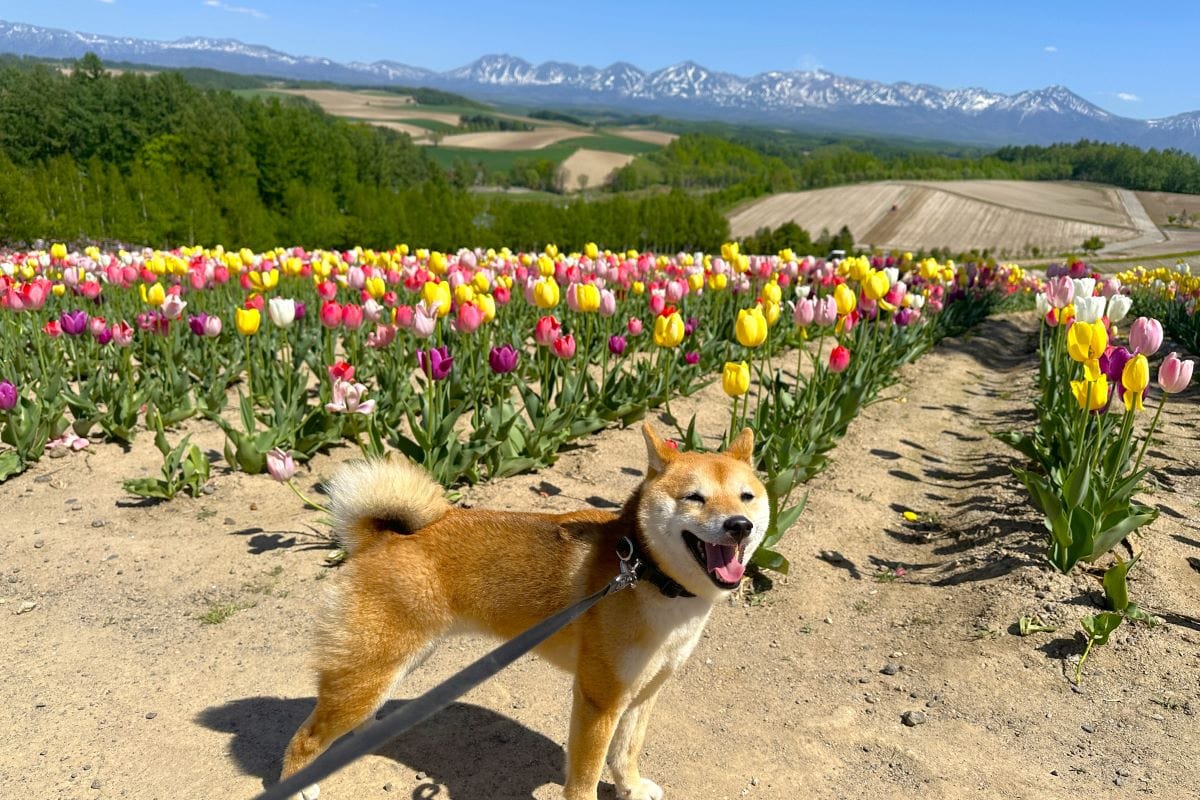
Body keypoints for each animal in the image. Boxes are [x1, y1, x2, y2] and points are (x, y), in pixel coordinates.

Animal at [280, 422, 768, 796]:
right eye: (694, 498)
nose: (738, 526)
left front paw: (630, 788)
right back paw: (300, 782)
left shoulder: (644, 692)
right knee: (304, 739)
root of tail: (380, 537)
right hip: (370, 671)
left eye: (746, 497)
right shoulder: (600, 700)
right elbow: (586, 774)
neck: (647, 575)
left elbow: (625, 753)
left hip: (397, 664)